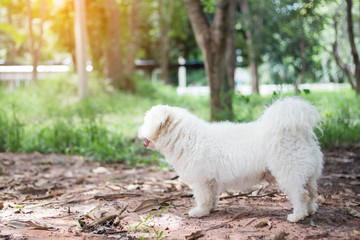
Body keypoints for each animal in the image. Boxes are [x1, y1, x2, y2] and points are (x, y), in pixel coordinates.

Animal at [138, 98, 324, 223]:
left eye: (146, 122)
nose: (138, 130)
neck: (186, 138)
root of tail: (296, 132)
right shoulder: (210, 181)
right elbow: (211, 197)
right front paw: (210, 209)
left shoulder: (201, 180)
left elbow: (202, 197)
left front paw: (200, 212)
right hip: (307, 174)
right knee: (311, 193)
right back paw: (310, 211)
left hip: (289, 173)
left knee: (300, 195)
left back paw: (297, 216)